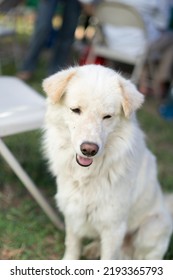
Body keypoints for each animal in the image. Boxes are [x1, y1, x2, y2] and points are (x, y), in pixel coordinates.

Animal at [42, 64, 172, 260]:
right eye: (76, 110)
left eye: (107, 116)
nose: (89, 149)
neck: (88, 175)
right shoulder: (73, 212)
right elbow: (72, 246)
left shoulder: (113, 227)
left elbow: (108, 257)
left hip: (152, 229)